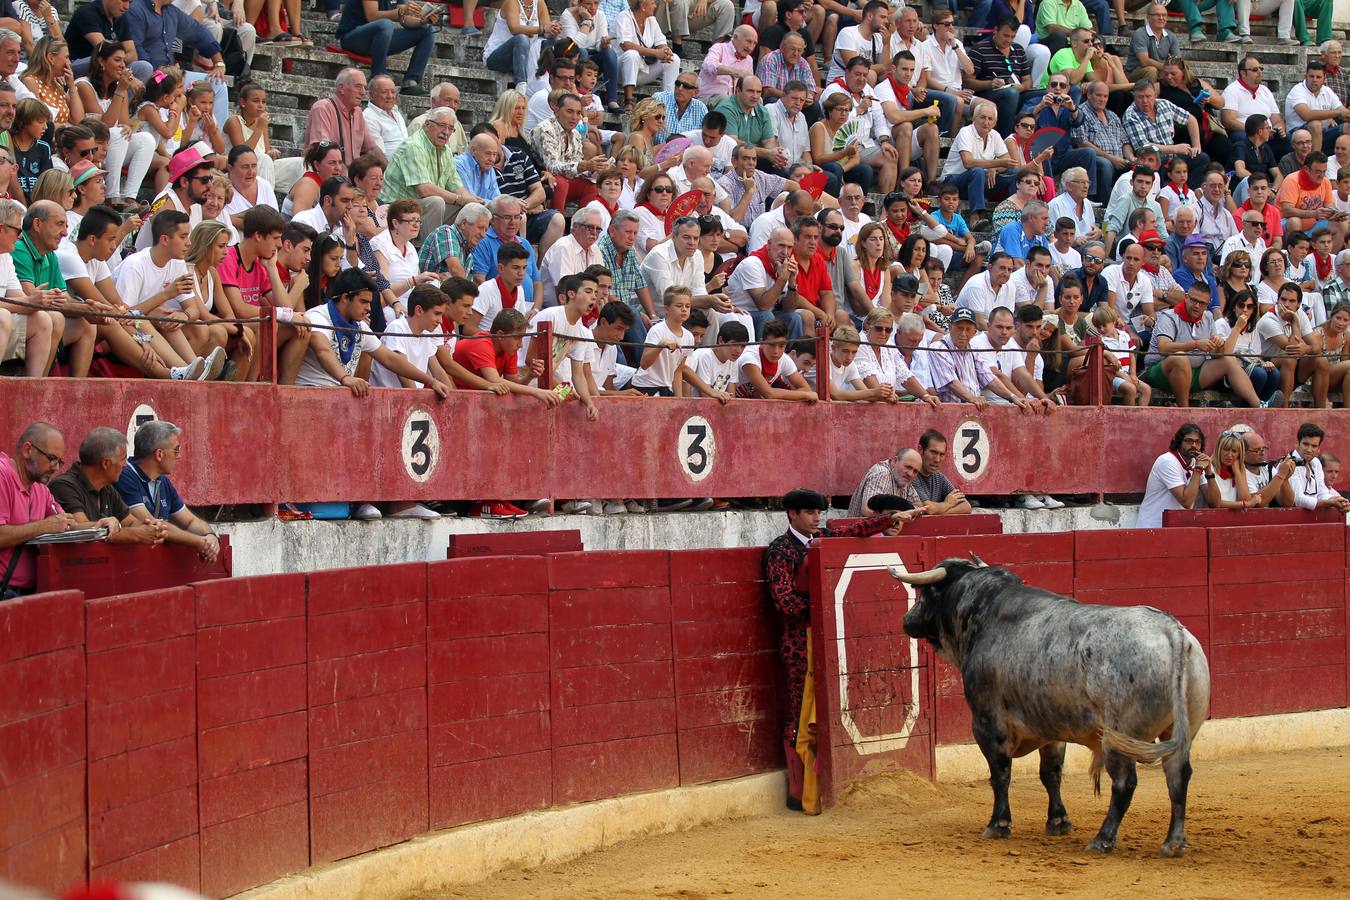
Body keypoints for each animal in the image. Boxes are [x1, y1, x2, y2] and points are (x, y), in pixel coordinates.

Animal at [885, 555, 1215, 858]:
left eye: (927, 593)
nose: (906, 620)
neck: (984, 613)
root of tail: (1172, 631)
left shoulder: (987, 722)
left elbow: (1000, 773)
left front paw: (998, 824)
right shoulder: (1051, 727)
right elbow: (1051, 773)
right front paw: (1058, 821)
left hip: (1119, 737)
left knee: (1124, 783)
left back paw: (1103, 839)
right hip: (1179, 732)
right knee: (1177, 776)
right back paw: (1173, 842)